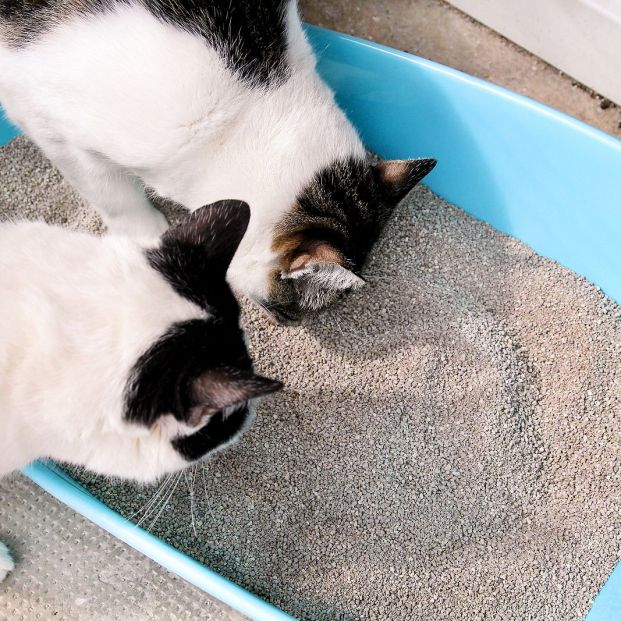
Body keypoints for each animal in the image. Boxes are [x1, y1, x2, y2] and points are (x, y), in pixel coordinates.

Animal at [0, 0, 434, 322]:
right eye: (291, 308)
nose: (289, 323)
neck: (250, 108)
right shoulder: (45, 117)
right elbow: (114, 195)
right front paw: (147, 232)